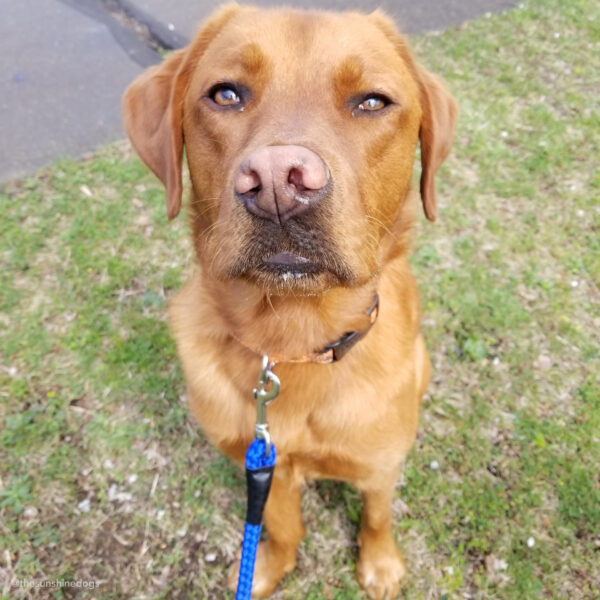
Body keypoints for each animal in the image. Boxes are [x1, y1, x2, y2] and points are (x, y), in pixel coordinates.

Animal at [124, 3, 458, 596]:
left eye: (372, 101)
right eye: (225, 94)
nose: (280, 181)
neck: (295, 343)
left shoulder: (379, 463)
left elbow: (378, 513)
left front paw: (380, 562)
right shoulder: (262, 462)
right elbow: (279, 522)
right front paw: (266, 564)